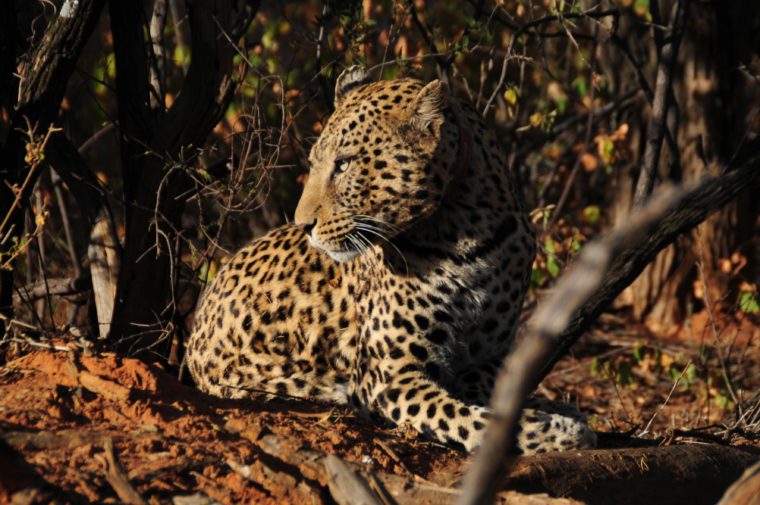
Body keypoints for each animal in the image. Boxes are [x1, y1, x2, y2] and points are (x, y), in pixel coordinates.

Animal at [187, 67, 596, 452]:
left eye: (344, 164)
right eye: (316, 162)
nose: (303, 225)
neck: (465, 234)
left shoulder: (491, 357)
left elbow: (483, 390)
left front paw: (558, 412)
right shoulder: (392, 377)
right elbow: (467, 418)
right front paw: (555, 431)